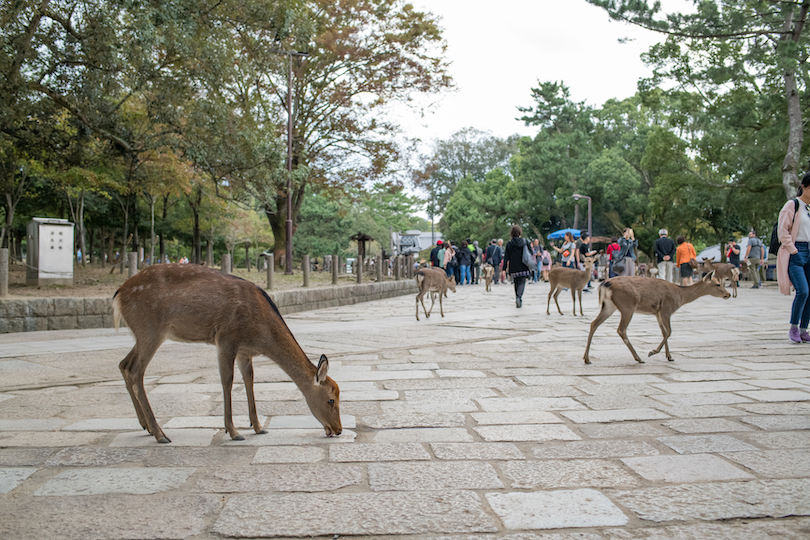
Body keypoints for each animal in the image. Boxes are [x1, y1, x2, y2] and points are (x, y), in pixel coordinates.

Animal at [113, 264, 340, 446]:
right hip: (151, 329)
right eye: (331, 400)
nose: (338, 430)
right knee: (136, 371)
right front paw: (233, 431)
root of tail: (118, 295)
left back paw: (145, 426)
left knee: (123, 364)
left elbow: (249, 380)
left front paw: (258, 427)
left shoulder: (244, 352)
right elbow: (227, 381)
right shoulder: (226, 339)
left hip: (142, 335)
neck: (261, 335)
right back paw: (160, 433)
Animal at [584, 272, 728, 364]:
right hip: (627, 306)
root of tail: (604, 284)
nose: (728, 294)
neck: (680, 296)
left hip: (609, 306)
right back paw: (639, 358)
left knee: (593, 323)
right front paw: (652, 352)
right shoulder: (666, 310)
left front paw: (669, 357)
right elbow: (669, 332)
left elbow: (664, 332)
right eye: (717, 284)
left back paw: (587, 358)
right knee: (621, 329)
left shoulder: (657, 313)